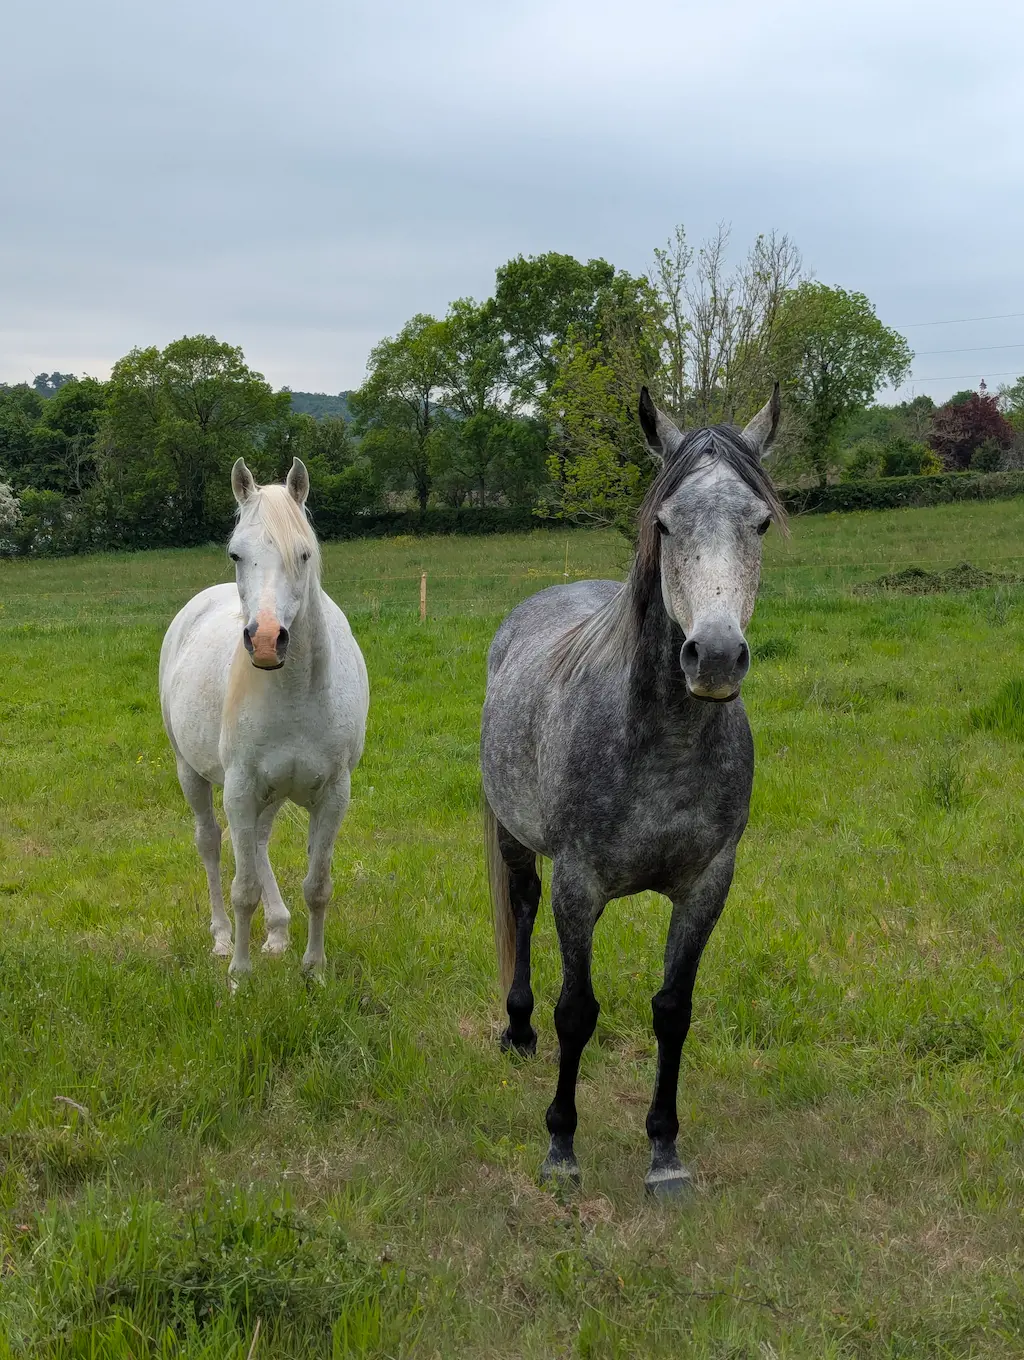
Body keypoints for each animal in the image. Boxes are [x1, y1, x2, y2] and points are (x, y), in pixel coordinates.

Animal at [159, 457, 368, 979]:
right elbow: (243, 889)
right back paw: (220, 938)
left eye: (304, 554)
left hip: (271, 793)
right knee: (211, 843)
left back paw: (277, 931)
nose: (268, 640)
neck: (296, 692)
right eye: (236, 554)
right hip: (191, 772)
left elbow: (317, 886)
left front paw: (314, 970)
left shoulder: (333, 794)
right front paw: (239, 975)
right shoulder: (239, 788)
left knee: (257, 842)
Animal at [481, 386, 786, 1197]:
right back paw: (517, 1030)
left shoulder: (708, 884)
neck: (664, 745)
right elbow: (576, 1012)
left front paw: (664, 1152)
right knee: (520, 910)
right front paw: (561, 1147)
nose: (715, 656)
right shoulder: (579, 885)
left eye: (760, 520)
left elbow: (673, 1011)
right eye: (665, 522)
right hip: (514, 836)